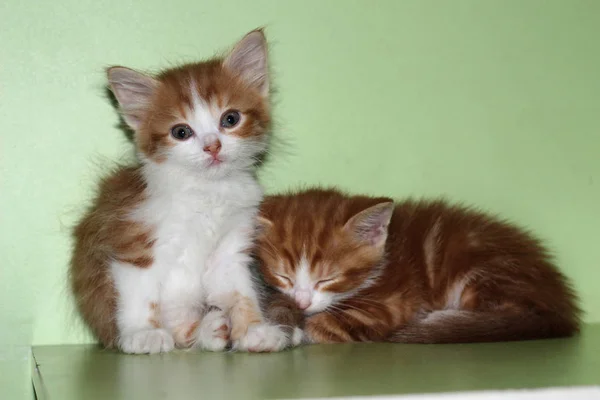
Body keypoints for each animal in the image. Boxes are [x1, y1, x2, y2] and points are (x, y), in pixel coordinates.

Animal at [70, 29, 290, 354]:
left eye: (230, 119)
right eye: (181, 132)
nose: (213, 146)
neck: (207, 191)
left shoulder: (231, 247)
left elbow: (241, 293)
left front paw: (254, 329)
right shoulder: (133, 240)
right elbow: (140, 293)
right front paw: (142, 333)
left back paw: (212, 329)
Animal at [258, 189, 580, 346]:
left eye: (328, 279)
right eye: (283, 276)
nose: (303, 302)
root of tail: (562, 306)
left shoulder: (392, 304)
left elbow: (321, 326)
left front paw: (300, 329)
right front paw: (283, 321)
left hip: (491, 268)